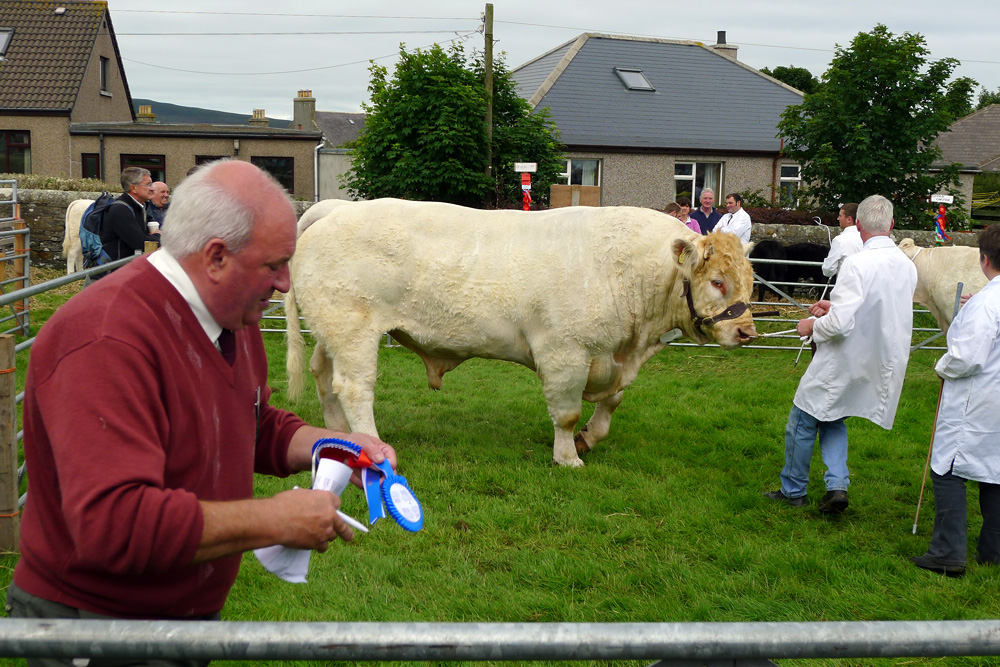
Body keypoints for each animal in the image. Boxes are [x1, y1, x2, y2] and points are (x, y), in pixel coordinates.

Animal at [290, 200, 756, 464]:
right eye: (717, 281)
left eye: (750, 280)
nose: (747, 332)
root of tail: (334, 207)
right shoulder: (565, 352)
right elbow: (566, 414)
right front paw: (568, 458)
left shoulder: (613, 356)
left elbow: (613, 402)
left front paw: (589, 439)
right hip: (353, 327)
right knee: (353, 387)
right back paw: (372, 445)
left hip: (331, 330)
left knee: (324, 377)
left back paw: (340, 436)